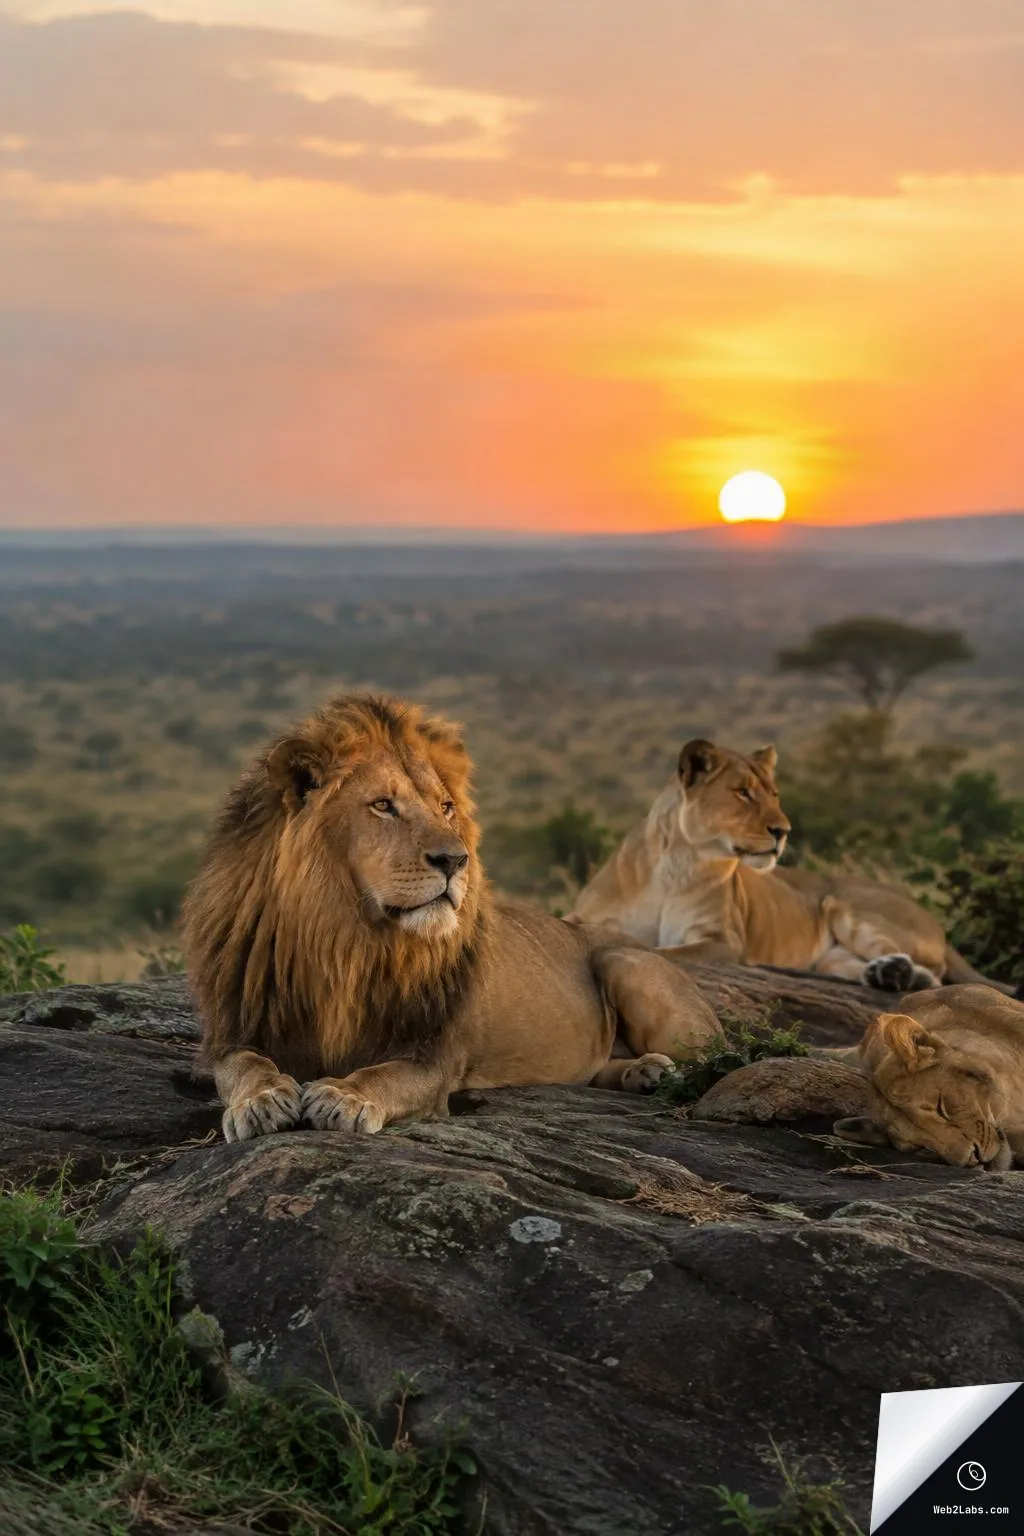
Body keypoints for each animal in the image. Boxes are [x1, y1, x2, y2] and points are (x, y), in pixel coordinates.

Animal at [183, 694, 723, 1142]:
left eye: (444, 807)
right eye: (383, 805)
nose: (455, 860)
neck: (344, 938)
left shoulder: (434, 1054)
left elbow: (386, 1075)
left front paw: (344, 1097)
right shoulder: (231, 1031)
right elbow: (245, 1066)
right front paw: (261, 1101)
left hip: (627, 967)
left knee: (718, 1060)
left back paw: (658, 1070)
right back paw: (641, 1071)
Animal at [571, 736, 1011, 994]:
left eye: (774, 793)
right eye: (743, 793)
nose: (783, 831)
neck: (675, 864)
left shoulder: (722, 942)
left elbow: (659, 950)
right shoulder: (585, 914)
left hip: (847, 905)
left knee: (930, 970)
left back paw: (900, 973)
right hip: (831, 956)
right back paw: (886, 976)